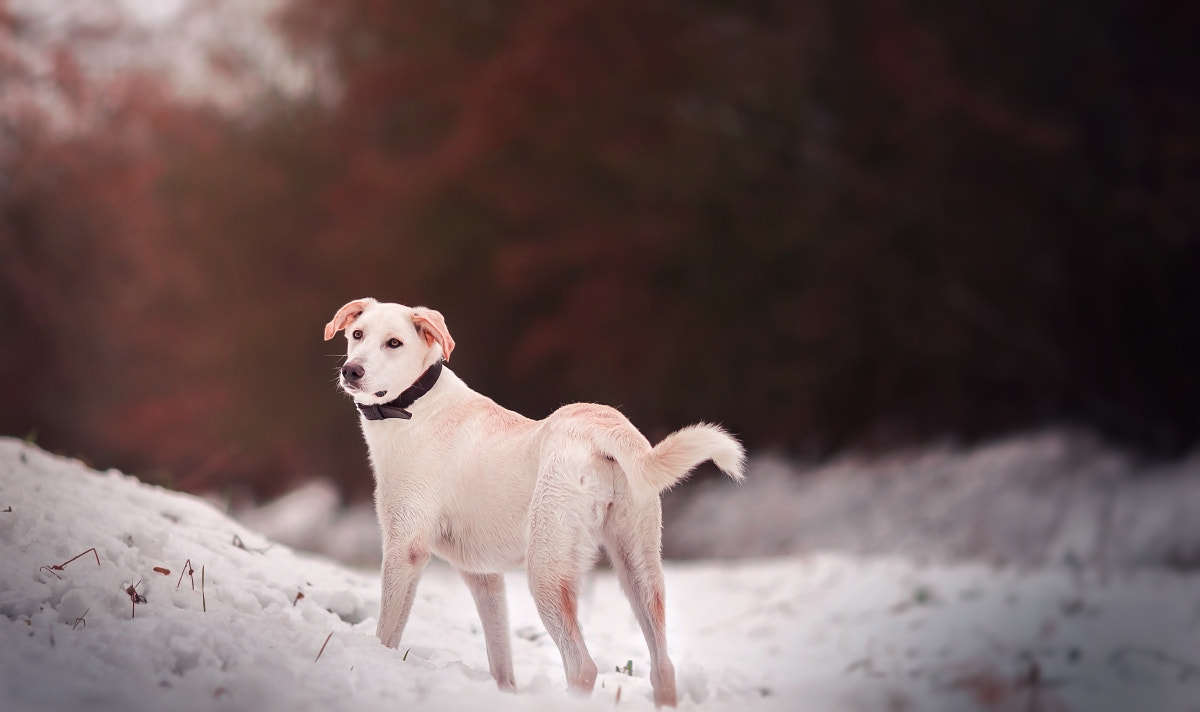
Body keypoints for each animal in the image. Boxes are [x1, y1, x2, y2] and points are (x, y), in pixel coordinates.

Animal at [324, 295, 744, 705]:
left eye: (394, 343)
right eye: (358, 334)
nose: (351, 371)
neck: (413, 405)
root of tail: (601, 426)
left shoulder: (404, 549)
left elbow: (387, 632)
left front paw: (376, 661)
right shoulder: (483, 577)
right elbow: (500, 660)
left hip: (546, 573)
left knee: (582, 667)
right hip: (638, 569)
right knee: (663, 667)